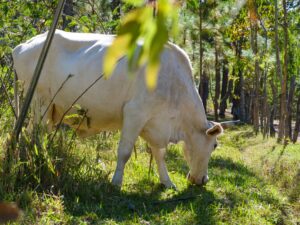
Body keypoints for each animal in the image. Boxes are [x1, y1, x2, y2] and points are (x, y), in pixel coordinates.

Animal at [12, 29, 223, 188]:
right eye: (214, 145)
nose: (203, 180)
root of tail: (23, 46)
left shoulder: (155, 123)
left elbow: (159, 155)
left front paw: (167, 182)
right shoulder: (135, 112)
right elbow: (125, 151)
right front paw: (116, 182)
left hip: (47, 108)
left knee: (31, 133)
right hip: (41, 100)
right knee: (37, 134)